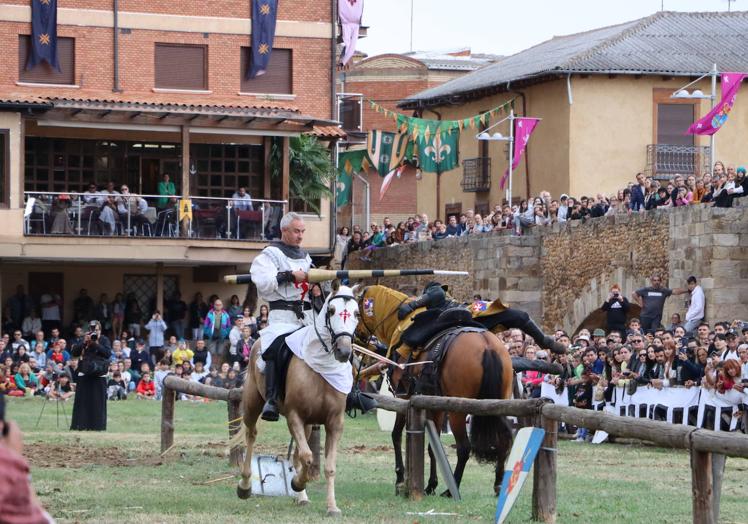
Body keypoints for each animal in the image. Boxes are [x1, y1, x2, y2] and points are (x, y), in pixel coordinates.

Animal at [356, 286, 516, 496]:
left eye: (356, 312)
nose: (356, 336)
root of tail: (487, 345)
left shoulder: (404, 399)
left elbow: (396, 435)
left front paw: (400, 479)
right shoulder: (436, 405)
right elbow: (434, 446)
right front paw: (431, 484)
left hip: (458, 411)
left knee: (464, 447)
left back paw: (452, 489)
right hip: (498, 404)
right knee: (504, 439)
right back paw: (498, 484)